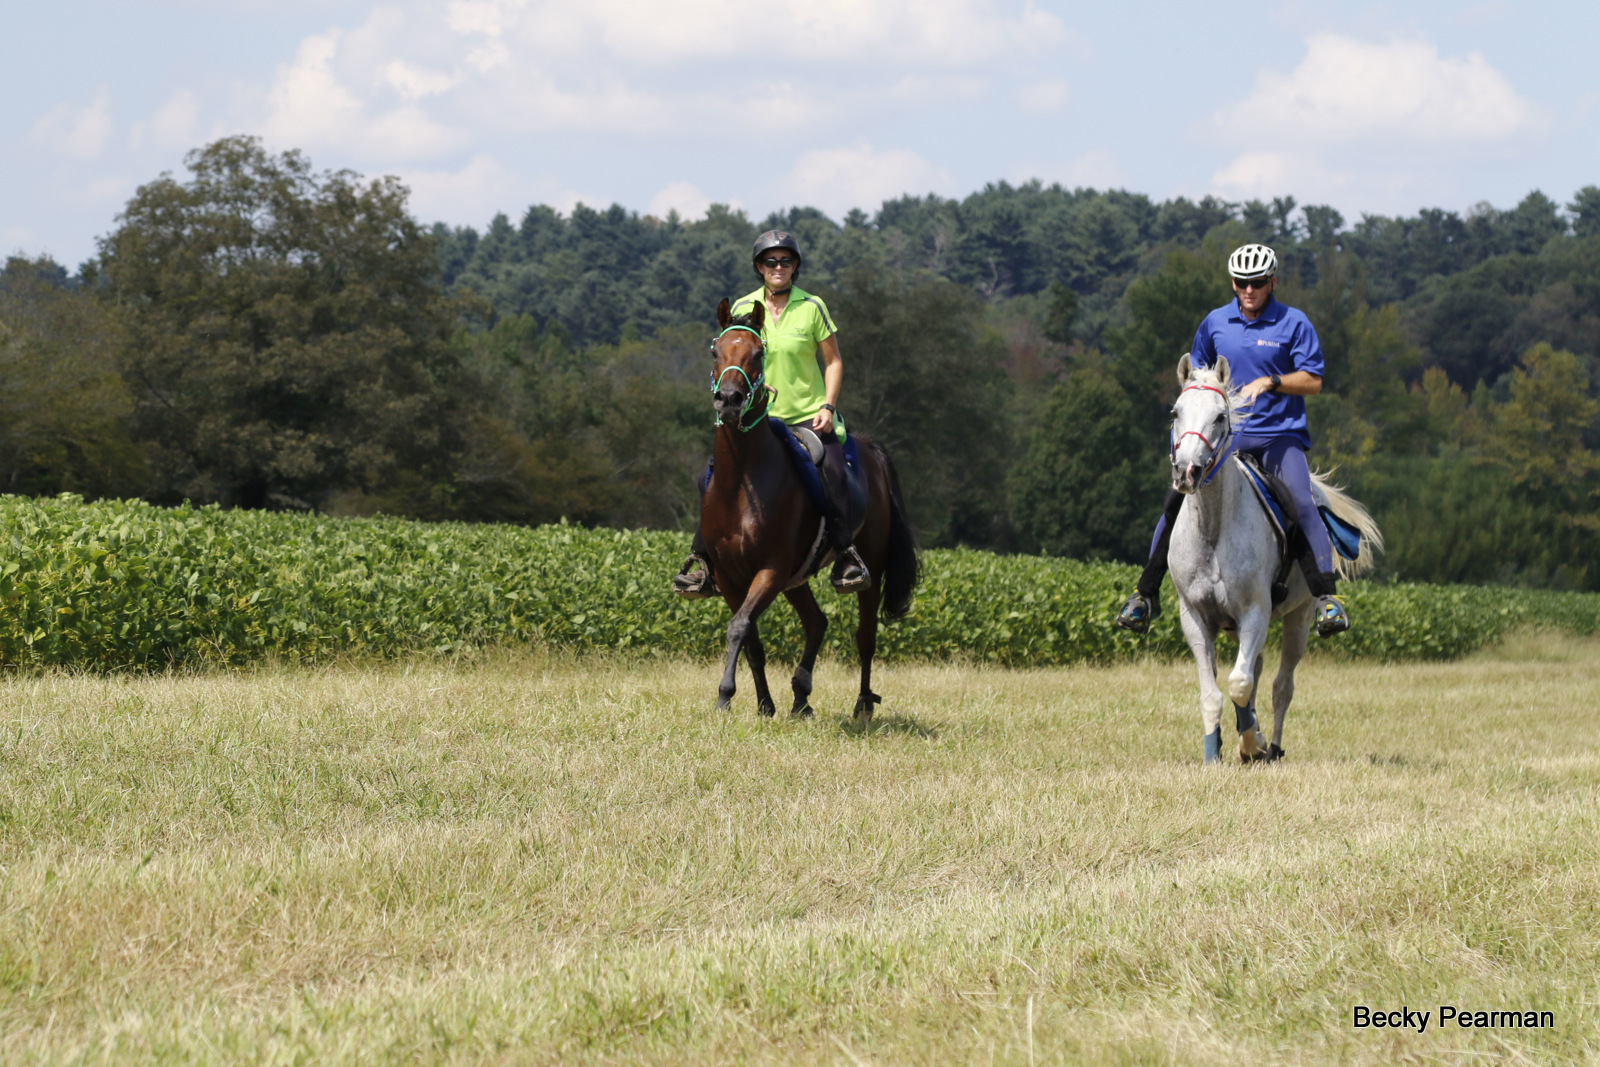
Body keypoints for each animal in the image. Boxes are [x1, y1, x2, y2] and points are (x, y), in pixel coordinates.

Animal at [704, 295, 921, 723]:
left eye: (758, 353)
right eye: (716, 351)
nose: (730, 400)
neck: (741, 482)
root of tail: (869, 449)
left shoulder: (770, 570)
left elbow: (739, 627)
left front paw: (724, 696)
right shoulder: (728, 575)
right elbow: (751, 638)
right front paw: (764, 705)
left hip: (869, 567)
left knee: (865, 636)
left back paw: (862, 704)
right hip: (797, 578)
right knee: (817, 622)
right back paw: (800, 697)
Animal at [1171, 355, 1382, 764]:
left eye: (1220, 416)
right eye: (1176, 412)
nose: (1187, 471)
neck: (1213, 529)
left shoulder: (1256, 611)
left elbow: (1239, 683)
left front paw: (1252, 742)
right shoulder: (1196, 617)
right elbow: (1213, 693)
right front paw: (1214, 752)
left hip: (1298, 619)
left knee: (1281, 685)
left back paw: (1273, 747)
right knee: (1256, 671)